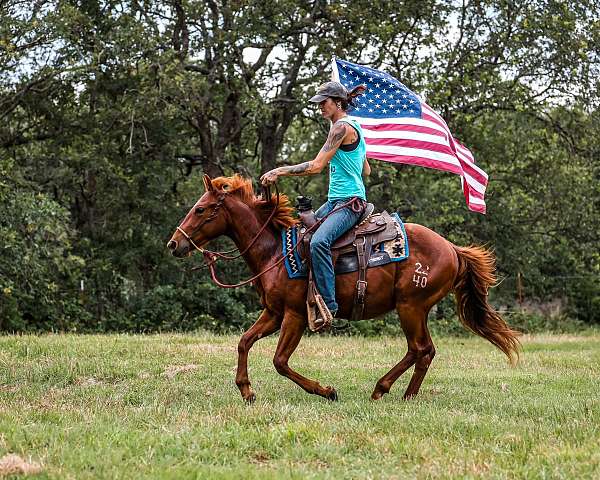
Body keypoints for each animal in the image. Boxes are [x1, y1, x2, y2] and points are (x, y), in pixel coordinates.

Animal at [166, 174, 516, 404]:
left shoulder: (294, 315)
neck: (275, 252)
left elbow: (280, 361)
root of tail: (453, 249)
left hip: (411, 307)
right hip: (417, 309)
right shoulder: (274, 313)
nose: (174, 244)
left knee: (420, 348)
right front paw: (246, 390)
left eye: (200, 209)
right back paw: (403, 393)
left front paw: (326, 391)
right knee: (424, 350)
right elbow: (244, 341)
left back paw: (385, 389)